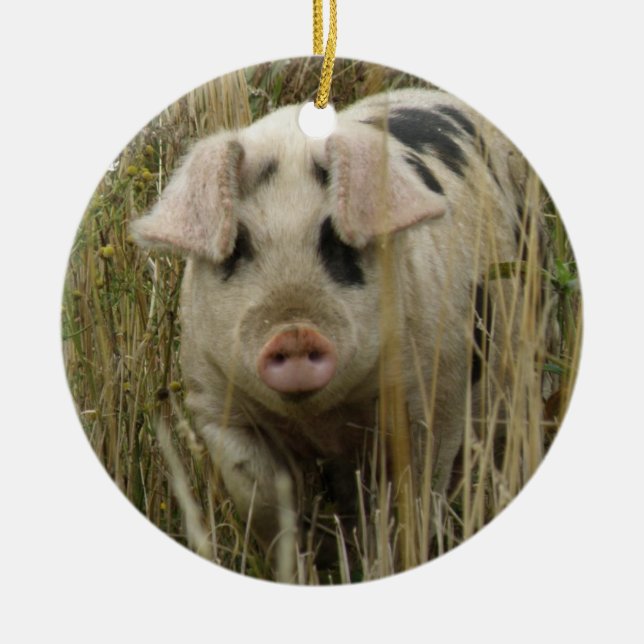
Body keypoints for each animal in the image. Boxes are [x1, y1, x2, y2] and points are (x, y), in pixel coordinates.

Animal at [131, 87, 540, 565]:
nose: (294, 332)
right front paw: (309, 558)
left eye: (338, 242)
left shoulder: (436, 395)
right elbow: (261, 497)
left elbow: (413, 499)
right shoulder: (216, 403)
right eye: (237, 247)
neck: (322, 420)